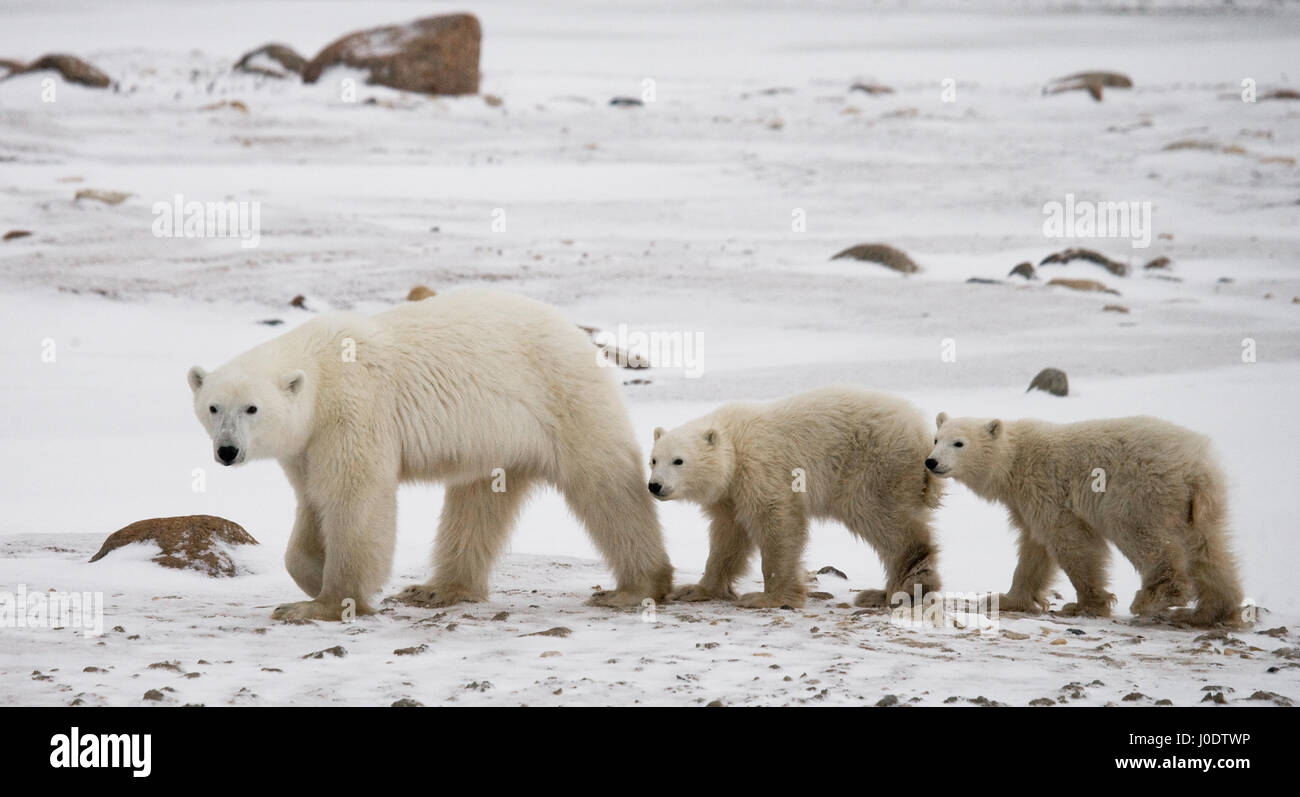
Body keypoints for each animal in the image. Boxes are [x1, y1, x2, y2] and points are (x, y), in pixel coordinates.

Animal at [188, 288, 676, 618]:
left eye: (252, 408)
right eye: (213, 407)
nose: (227, 450)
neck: (321, 371)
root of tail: (575, 333)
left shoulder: (353, 410)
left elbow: (354, 499)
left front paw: (324, 603)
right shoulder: (307, 443)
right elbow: (312, 501)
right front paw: (311, 578)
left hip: (563, 396)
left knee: (605, 484)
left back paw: (635, 586)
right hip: (499, 440)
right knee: (479, 503)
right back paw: (437, 589)